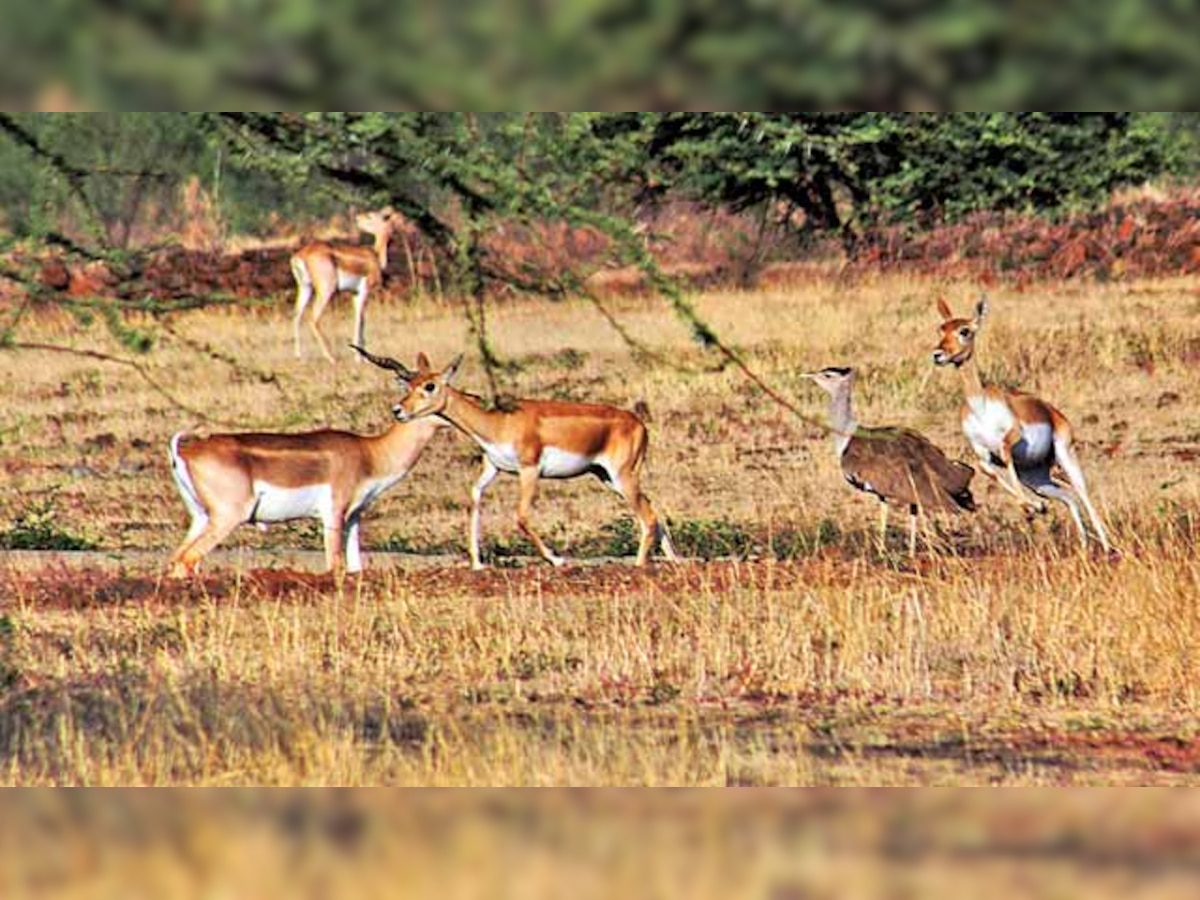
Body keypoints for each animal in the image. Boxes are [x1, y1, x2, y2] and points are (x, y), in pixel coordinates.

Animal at [169, 417, 446, 578]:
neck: (369, 453)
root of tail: (185, 450)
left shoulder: (354, 516)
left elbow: (355, 566)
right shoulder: (334, 515)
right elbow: (334, 565)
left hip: (201, 518)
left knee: (176, 560)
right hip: (227, 518)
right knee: (186, 559)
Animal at [289, 207, 398, 362]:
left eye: (371, 215)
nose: (357, 218)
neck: (375, 256)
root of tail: (300, 255)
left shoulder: (355, 293)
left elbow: (361, 319)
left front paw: (363, 357)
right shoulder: (364, 291)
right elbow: (359, 320)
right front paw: (358, 358)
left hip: (306, 288)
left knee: (296, 315)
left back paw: (300, 357)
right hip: (326, 290)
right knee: (314, 318)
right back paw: (331, 357)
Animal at [350, 345, 681, 571]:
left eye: (429, 386)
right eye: (408, 385)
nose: (398, 410)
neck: (497, 423)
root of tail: (638, 423)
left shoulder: (529, 470)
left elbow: (520, 516)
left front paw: (557, 560)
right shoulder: (493, 468)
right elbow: (474, 498)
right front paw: (477, 563)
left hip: (622, 476)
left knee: (647, 515)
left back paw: (639, 566)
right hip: (607, 477)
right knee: (652, 508)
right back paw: (674, 559)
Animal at [796, 367, 974, 556]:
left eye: (827, 376)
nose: (806, 375)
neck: (846, 433)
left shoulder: (879, 491)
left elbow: (883, 514)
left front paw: (881, 552)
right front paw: (907, 552)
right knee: (914, 509)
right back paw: (911, 553)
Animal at [931, 296, 1108, 554]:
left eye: (964, 331)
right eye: (941, 330)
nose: (938, 354)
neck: (980, 407)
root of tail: (1053, 412)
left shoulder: (1012, 437)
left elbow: (1005, 454)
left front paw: (1034, 508)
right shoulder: (981, 451)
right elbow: (987, 470)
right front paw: (1036, 508)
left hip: (1064, 455)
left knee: (1082, 492)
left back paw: (1107, 546)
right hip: (1035, 478)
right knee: (1068, 497)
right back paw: (1083, 544)